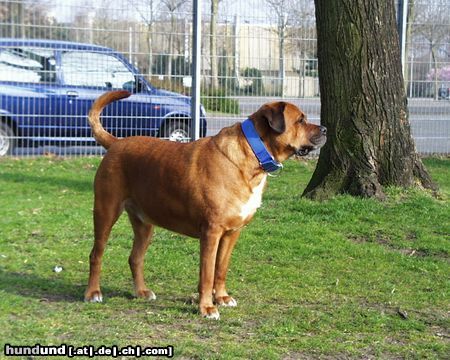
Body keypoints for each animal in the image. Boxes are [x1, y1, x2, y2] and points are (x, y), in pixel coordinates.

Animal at [84, 91, 326, 320]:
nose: (324, 129)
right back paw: (93, 293)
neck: (253, 154)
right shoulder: (211, 232)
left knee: (135, 258)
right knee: (96, 254)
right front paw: (207, 308)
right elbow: (207, 273)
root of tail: (116, 142)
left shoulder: (231, 233)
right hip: (106, 212)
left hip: (145, 225)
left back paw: (142, 292)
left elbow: (221, 268)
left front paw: (222, 297)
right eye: (300, 120)